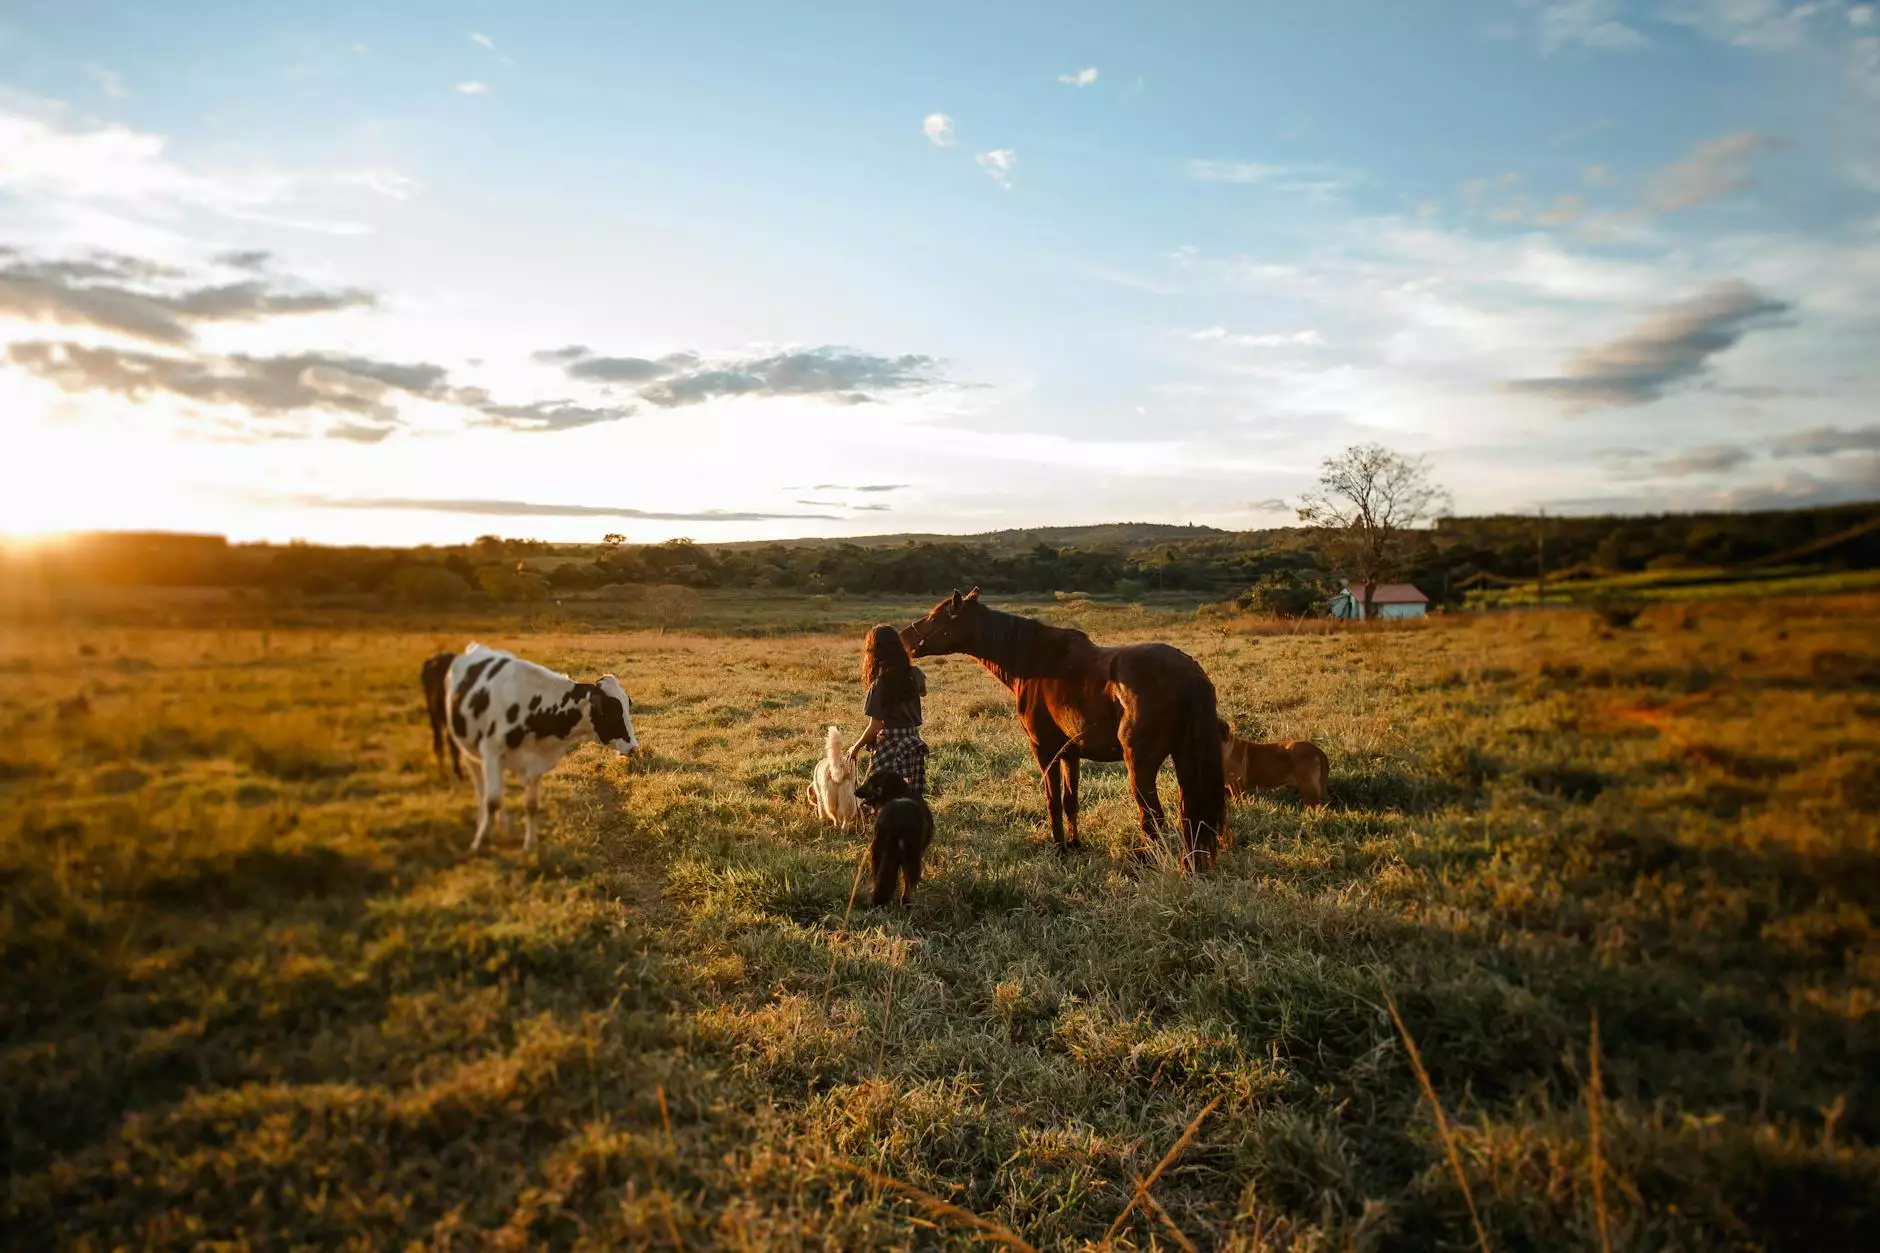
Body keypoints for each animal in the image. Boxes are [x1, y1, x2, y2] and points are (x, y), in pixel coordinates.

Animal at [443, 639, 642, 854]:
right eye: (609, 710)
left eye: (627, 706)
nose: (634, 748)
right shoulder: (491, 752)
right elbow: (492, 801)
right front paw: (479, 843)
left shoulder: (534, 760)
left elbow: (531, 805)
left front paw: (530, 845)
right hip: (469, 749)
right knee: (481, 790)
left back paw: (503, 826)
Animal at [857, 767, 936, 903]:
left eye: (870, 782)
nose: (855, 791)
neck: (897, 793)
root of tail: (896, 817)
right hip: (910, 853)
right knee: (909, 881)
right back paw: (906, 901)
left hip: (878, 848)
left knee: (878, 876)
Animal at [902, 586, 1225, 869]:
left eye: (935, 618)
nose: (904, 640)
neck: (1034, 662)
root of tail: (1189, 674)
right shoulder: (1070, 753)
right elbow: (1070, 801)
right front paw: (1074, 844)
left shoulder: (1045, 750)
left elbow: (1053, 801)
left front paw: (1059, 847)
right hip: (1184, 760)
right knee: (1191, 815)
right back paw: (1190, 865)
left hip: (1141, 765)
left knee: (1153, 818)